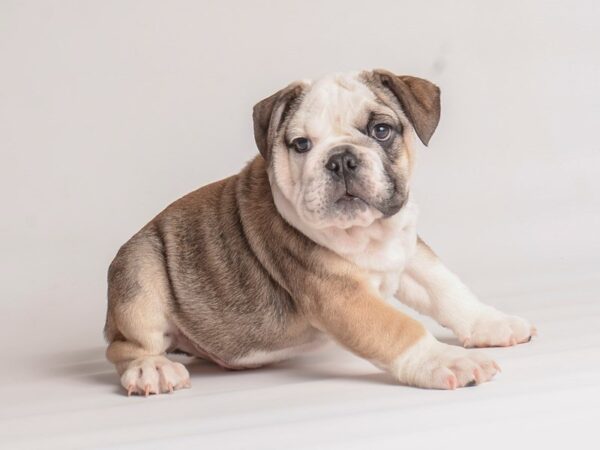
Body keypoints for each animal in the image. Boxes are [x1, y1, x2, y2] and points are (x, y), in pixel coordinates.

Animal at [103, 68, 536, 396]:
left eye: (381, 130)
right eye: (301, 145)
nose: (341, 158)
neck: (367, 235)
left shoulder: (409, 251)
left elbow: (446, 288)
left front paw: (490, 324)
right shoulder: (340, 295)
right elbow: (399, 328)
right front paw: (447, 360)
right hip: (139, 276)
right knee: (125, 346)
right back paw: (152, 369)